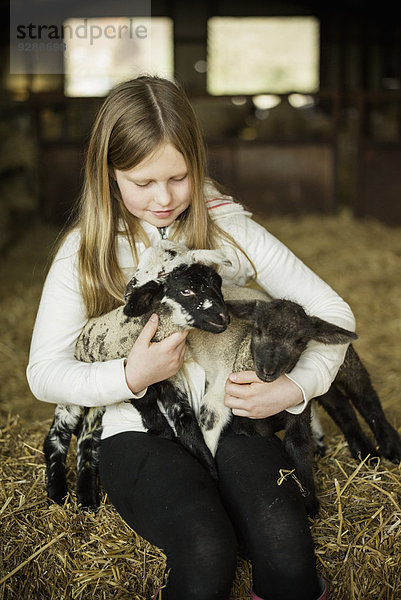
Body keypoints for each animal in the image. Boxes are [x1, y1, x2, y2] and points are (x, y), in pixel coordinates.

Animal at [43, 243, 231, 510]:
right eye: (186, 290)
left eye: (219, 284)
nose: (224, 318)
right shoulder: (137, 377)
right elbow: (150, 406)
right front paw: (161, 434)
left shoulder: (172, 383)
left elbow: (188, 425)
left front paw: (210, 470)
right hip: (72, 398)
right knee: (56, 435)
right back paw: (57, 493)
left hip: (97, 404)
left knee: (87, 440)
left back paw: (87, 500)